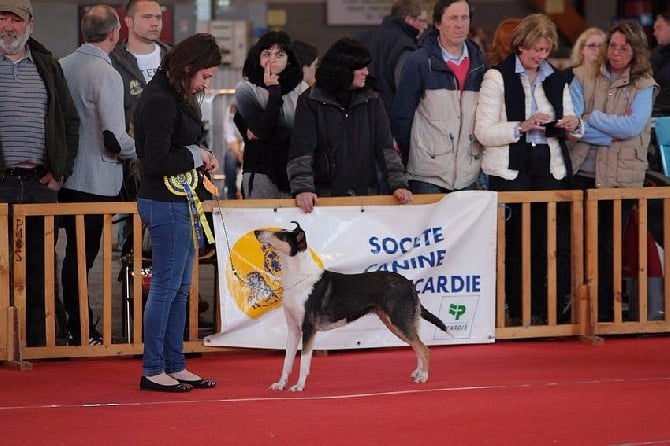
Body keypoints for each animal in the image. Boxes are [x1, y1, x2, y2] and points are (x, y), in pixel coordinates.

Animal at [255, 222, 448, 390]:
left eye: (280, 235)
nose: (256, 232)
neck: (298, 279)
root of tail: (409, 283)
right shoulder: (293, 329)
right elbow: (287, 362)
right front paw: (280, 385)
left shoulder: (308, 329)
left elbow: (304, 361)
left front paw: (299, 386)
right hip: (396, 323)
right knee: (416, 346)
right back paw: (418, 373)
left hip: (400, 321)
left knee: (424, 349)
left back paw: (423, 377)